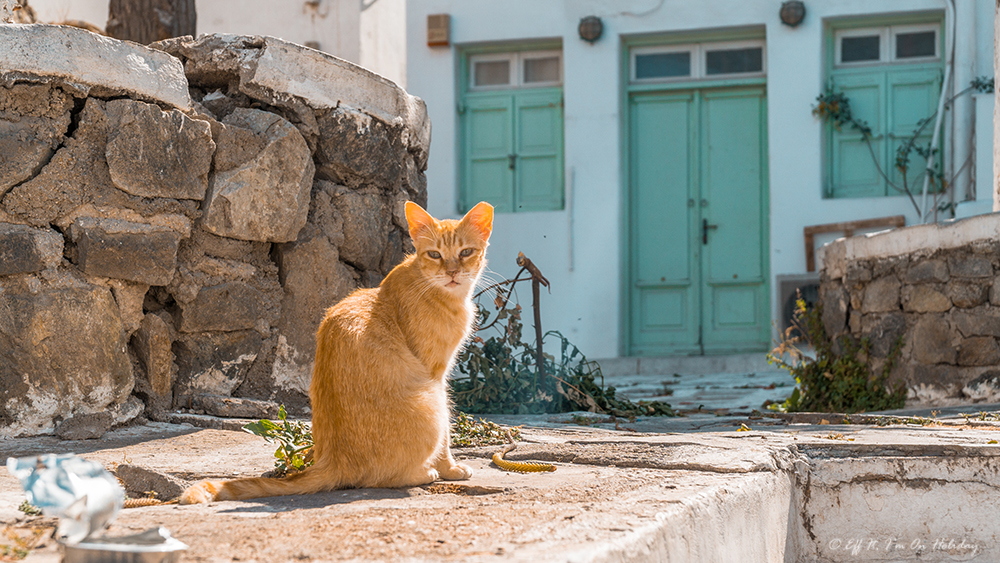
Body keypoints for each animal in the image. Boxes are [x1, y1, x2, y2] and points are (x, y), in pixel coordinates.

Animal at [182, 200, 494, 504]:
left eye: (465, 252)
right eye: (434, 255)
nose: (452, 272)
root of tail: (333, 461)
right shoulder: (437, 376)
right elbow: (446, 438)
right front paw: (449, 468)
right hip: (431, 401)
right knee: (382, 478)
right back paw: (423, 473)